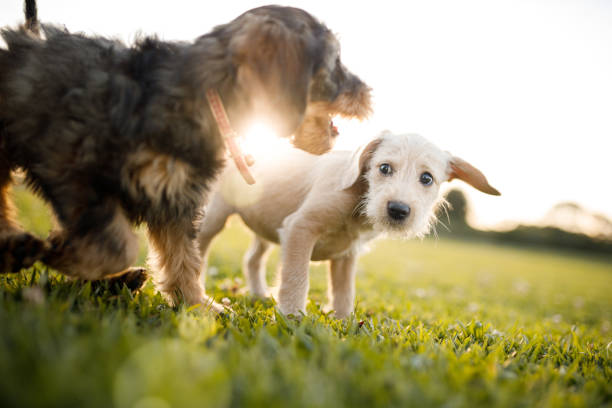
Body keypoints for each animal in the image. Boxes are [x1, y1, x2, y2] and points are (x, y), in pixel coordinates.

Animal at [0, 1, 370, 310]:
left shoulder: (176, 197)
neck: (206, 96)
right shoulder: (74, 167)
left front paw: (197, 306)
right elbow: (118, 244)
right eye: (336, 62)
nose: (368, 91)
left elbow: (182, 257)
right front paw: (62, 254)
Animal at [198, 132, 500, 318]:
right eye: (384, 168)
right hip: (213, 217)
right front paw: (291, 317)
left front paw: (345, 324)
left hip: (266, 224)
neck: (359, 197)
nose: (398, 209)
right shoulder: (300, 228)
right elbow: (296, 279)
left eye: (427, 178)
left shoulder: (346, 255)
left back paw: (259, 294)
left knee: (252, 259)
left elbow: (344, 292)